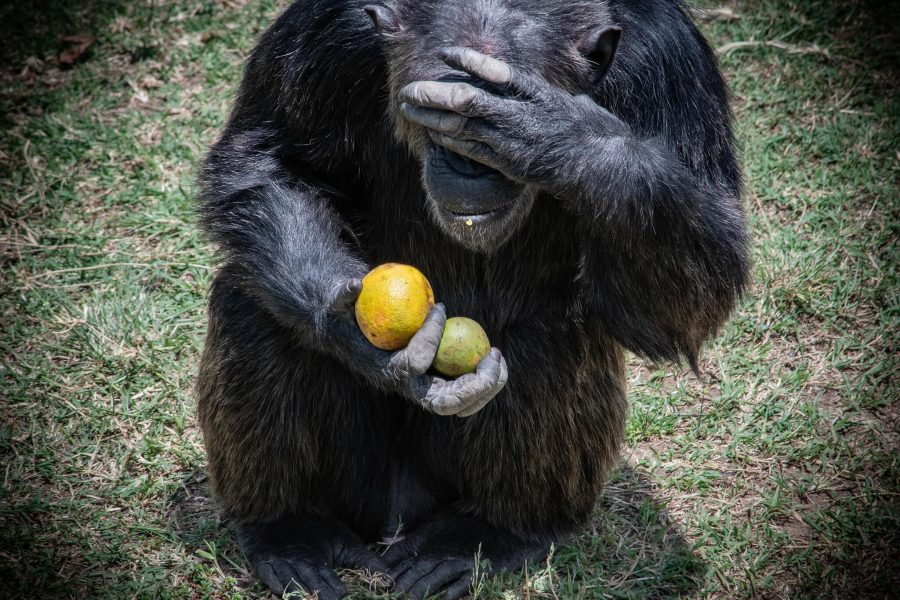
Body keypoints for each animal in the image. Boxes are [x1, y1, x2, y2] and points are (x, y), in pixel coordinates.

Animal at [195, 0, 744, 596]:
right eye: (432, 119)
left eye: (482, 136)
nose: (468, 165)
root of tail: (395, 521)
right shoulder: (318, 36)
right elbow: (275, 165)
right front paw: (351, 335)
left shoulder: (670, 64)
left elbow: (700, 285)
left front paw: (558, 133)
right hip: (356, 487)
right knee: (253, 299)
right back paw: (290, 530)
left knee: (553, 333)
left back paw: (486, 536)